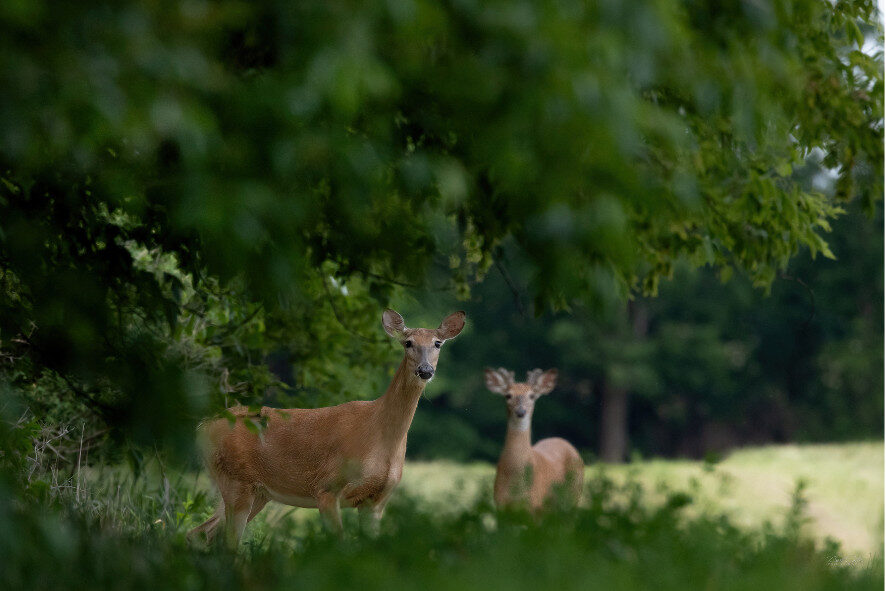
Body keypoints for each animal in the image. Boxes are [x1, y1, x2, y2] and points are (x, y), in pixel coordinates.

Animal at [186, 310, 464, 544]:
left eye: (437, 343)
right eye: (408, 343)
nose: (425, 370)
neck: (380, 435)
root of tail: (203, 426)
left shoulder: (376, 501)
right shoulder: (327, 488)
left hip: (258, 493)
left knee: (200, 532)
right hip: (236, 481)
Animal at [486, 368, 584, 512]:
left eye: (532, 396)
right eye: (508, 395)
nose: (521, 412)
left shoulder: (534, 503)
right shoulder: (500, 503)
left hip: (573, 495)